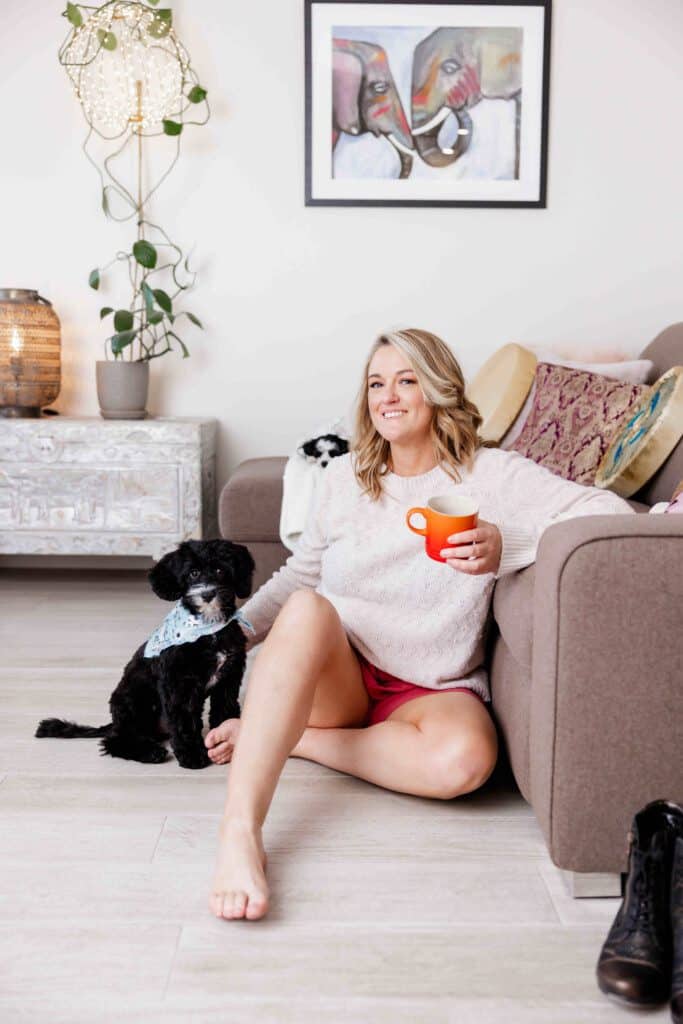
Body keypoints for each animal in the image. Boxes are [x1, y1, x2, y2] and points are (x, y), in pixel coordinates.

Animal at [34, 540, 254, 770]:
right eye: (193, 573)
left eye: (221, 570)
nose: (208, 594)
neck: (208, 630)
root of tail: (116, 722)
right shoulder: (179, 686)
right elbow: (184, 722)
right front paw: (192, 755)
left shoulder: (228, 679)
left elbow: (224, 711)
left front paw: (227, 743)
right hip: (136, 702)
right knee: (114, 741)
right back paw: (151, 753)